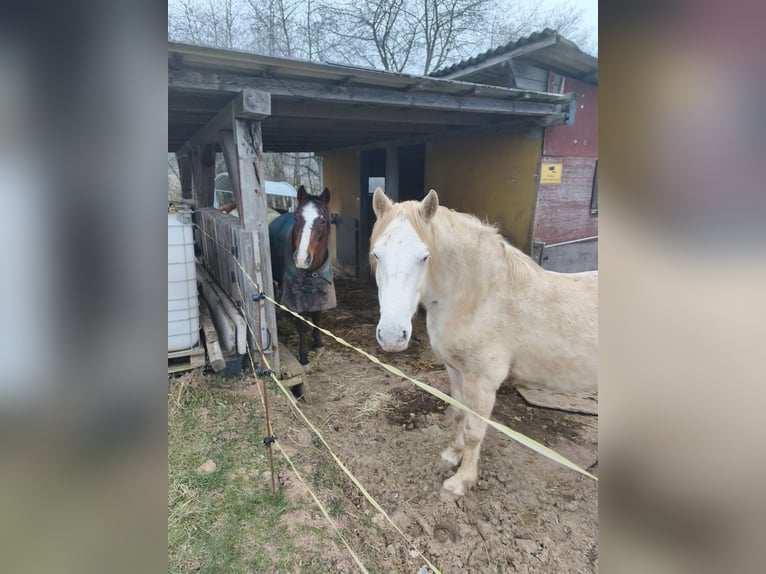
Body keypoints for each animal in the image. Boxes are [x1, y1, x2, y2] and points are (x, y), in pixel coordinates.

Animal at [269, 185, 336, 365]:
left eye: (322, 220)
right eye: (297, 217)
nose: (301, 259)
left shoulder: (320, 291)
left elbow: (317, 317)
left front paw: (318, 344)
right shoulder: (295, 294)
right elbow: (301, 325)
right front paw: (304, 357)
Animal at [369, 187, 598, 500]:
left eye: (425, 257)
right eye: (377, 255)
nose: (392, 336)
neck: (480, 298)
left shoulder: (483, 382)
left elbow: (474, 432)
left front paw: (460, 482)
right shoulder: (455, 371)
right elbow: (457, 415)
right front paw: (450, 456)